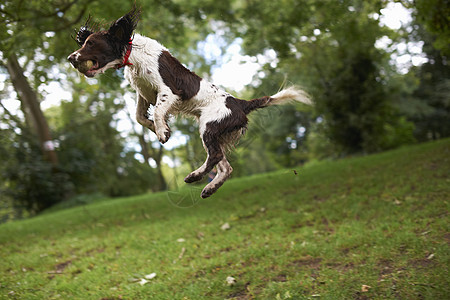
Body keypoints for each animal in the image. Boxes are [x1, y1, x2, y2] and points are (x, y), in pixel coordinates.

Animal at [68, 5, 312, 198]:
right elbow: (139, 116)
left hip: (208, 126)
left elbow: (158, 111)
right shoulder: (144, 93)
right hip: (215, 133)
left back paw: (194, 176)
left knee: (215, 157)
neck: (133, 54)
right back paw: (208, 188)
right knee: (226, 167)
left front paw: (162, 132)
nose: (71, 58)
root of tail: (240, 103)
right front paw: (157, 128)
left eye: (91, 43)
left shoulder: (167, 91)